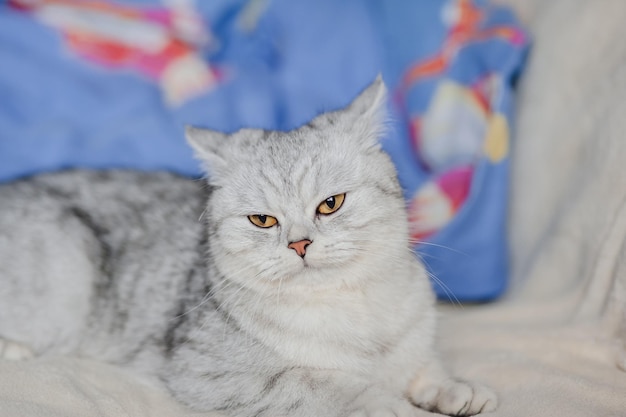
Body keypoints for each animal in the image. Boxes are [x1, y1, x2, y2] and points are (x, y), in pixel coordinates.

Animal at [0, 76, 498, 414]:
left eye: (330, 204)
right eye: (263, 220)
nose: (299, 244)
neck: (353, 311)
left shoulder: (413, 345)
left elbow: (425, 368)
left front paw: (455, 387)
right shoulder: (207, 371)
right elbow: (322, 383)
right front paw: (385, 402)